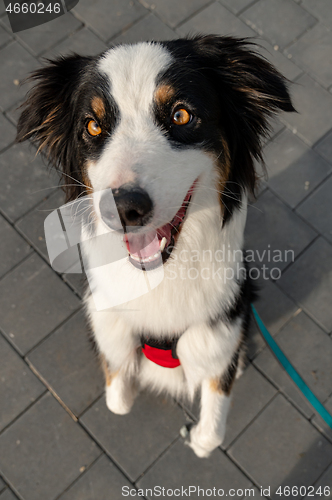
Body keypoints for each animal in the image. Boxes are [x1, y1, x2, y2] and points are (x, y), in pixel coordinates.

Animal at [16, 35, 294, 458]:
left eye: (181, 115)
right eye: (93, 125)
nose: (123, 209)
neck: (159, 280)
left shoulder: (220, 328)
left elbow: (211, 431)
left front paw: (195, 435)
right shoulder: (107, 322)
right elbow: (118, 397)